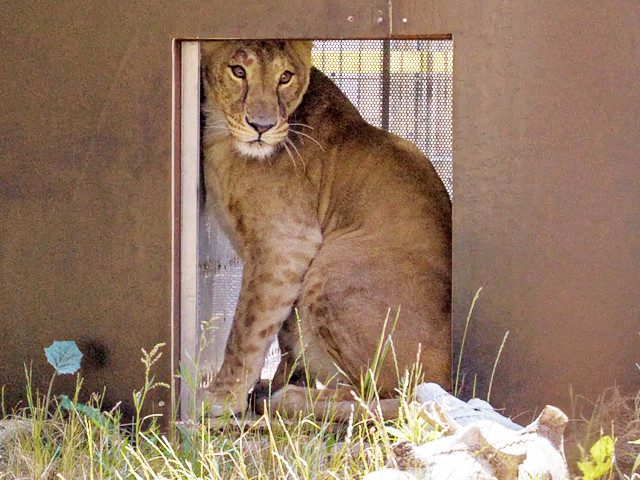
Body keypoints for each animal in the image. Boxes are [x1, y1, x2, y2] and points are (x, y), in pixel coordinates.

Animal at [199, 40, 451, 419]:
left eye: (285, 77)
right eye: (238, 70)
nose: (261, 126)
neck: (221, 135)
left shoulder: (286, 242)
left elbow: (247, 328)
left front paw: (222, 397)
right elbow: (283, 333)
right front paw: (272, 382)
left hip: (335, 266)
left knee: (392, 395)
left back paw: (287, 399)